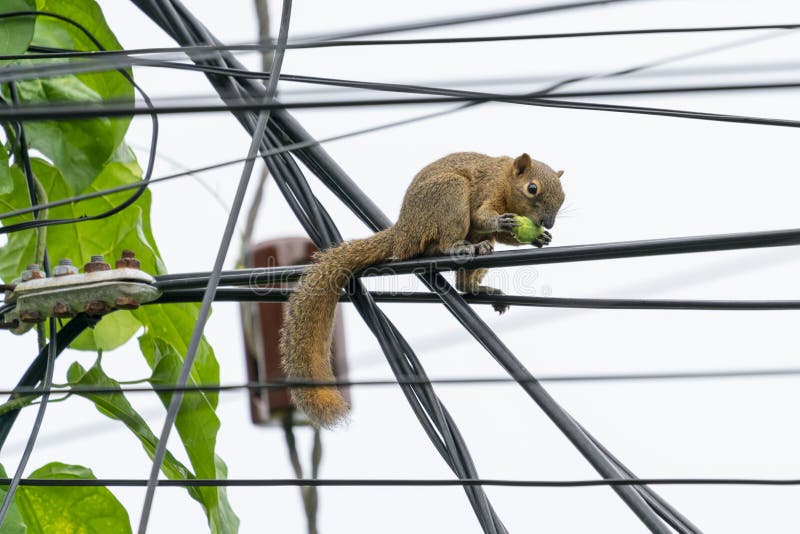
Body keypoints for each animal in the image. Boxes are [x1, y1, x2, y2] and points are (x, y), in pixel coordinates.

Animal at [280, 152, 566, 428]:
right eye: (532, 188)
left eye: (563, 196)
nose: (549, 223)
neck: (506, 179)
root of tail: (402, 233)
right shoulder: (490, 188)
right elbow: (482, 216)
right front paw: (503, 222)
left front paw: (539, 238)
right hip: (449, 194)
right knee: (442, 243)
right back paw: (459, 249)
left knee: (464, 281)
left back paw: (483, 286)